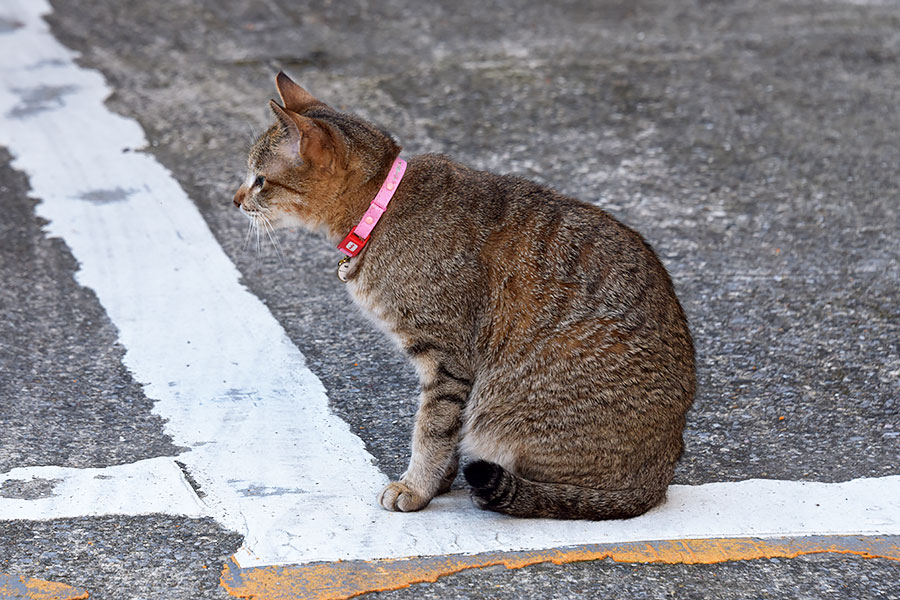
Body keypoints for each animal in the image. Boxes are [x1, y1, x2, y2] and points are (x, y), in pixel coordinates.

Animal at [232, 71, 696, 520]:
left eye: (260, 180)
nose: (234, 199)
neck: (380, 209)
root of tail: (659, 477)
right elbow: (447, 433)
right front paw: (437, 483)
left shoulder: (447, 357)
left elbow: (432, 430)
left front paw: (416, 487)